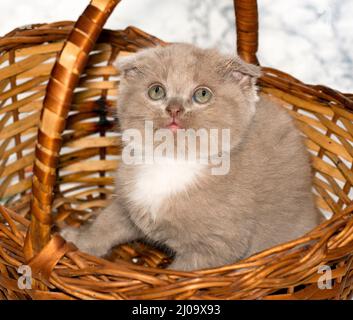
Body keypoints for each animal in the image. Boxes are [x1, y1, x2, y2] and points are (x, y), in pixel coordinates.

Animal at [61, 43, 322, 272]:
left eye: (202, 94)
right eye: (156, 91)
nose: (174, 109)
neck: (171, 162)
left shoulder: (216, 246)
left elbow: (183, 274)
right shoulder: (127, 205)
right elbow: (105, 223)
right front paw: (77, 241)